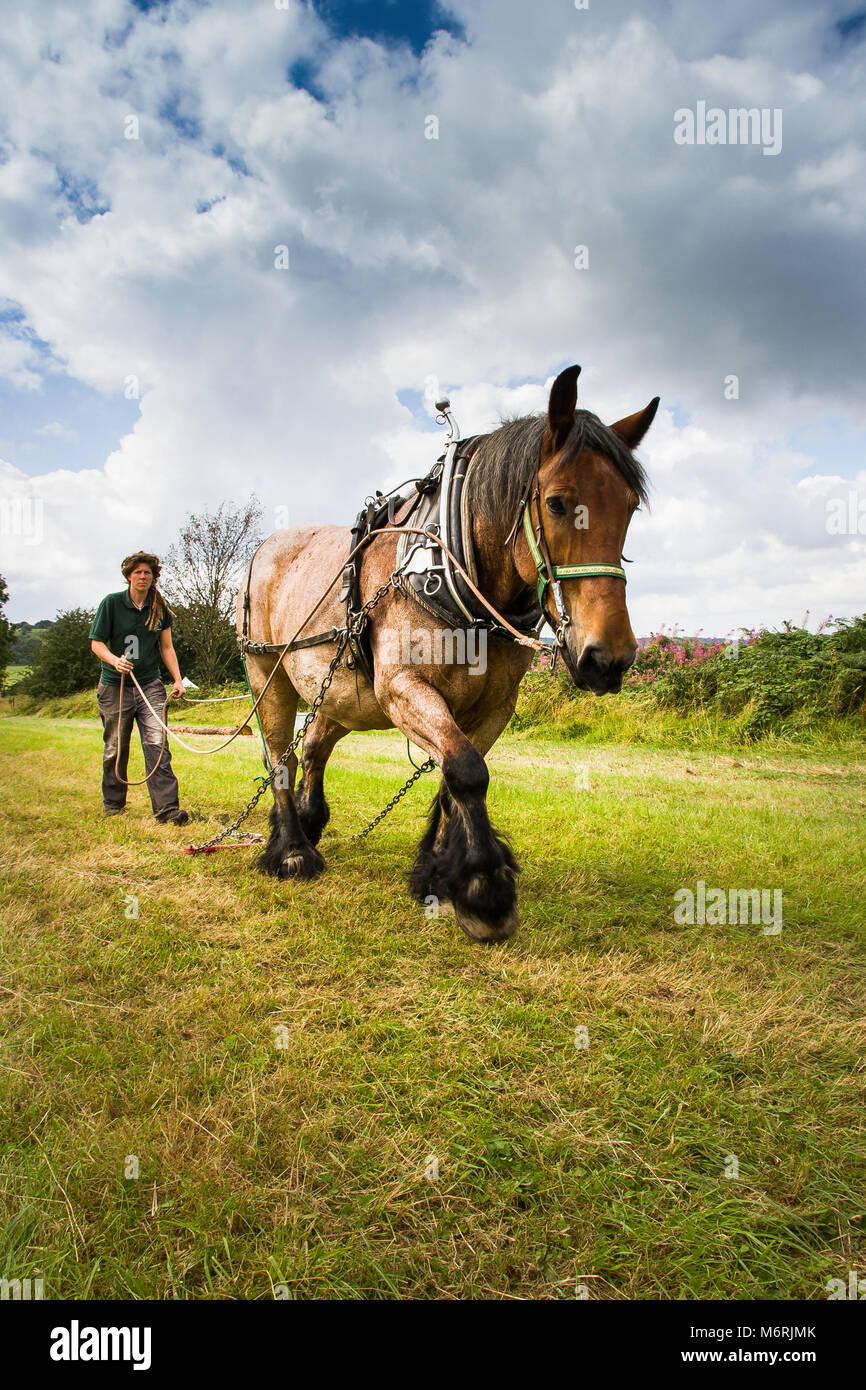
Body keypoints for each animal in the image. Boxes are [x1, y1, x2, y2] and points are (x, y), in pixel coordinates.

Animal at [237, 365, 658, 942]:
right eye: (555, 502)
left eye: (630, 507)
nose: (607, 658)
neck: (454, 568)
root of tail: (265, 547)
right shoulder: (403, 688)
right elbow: (465, 770)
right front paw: (485, 891)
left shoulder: (495, 703)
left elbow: (452, 776)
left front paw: (436, 872)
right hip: (269, 674)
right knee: (280, 755)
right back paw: (293, 851)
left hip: (341, 692)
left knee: (315, 746)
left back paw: (311, 819)